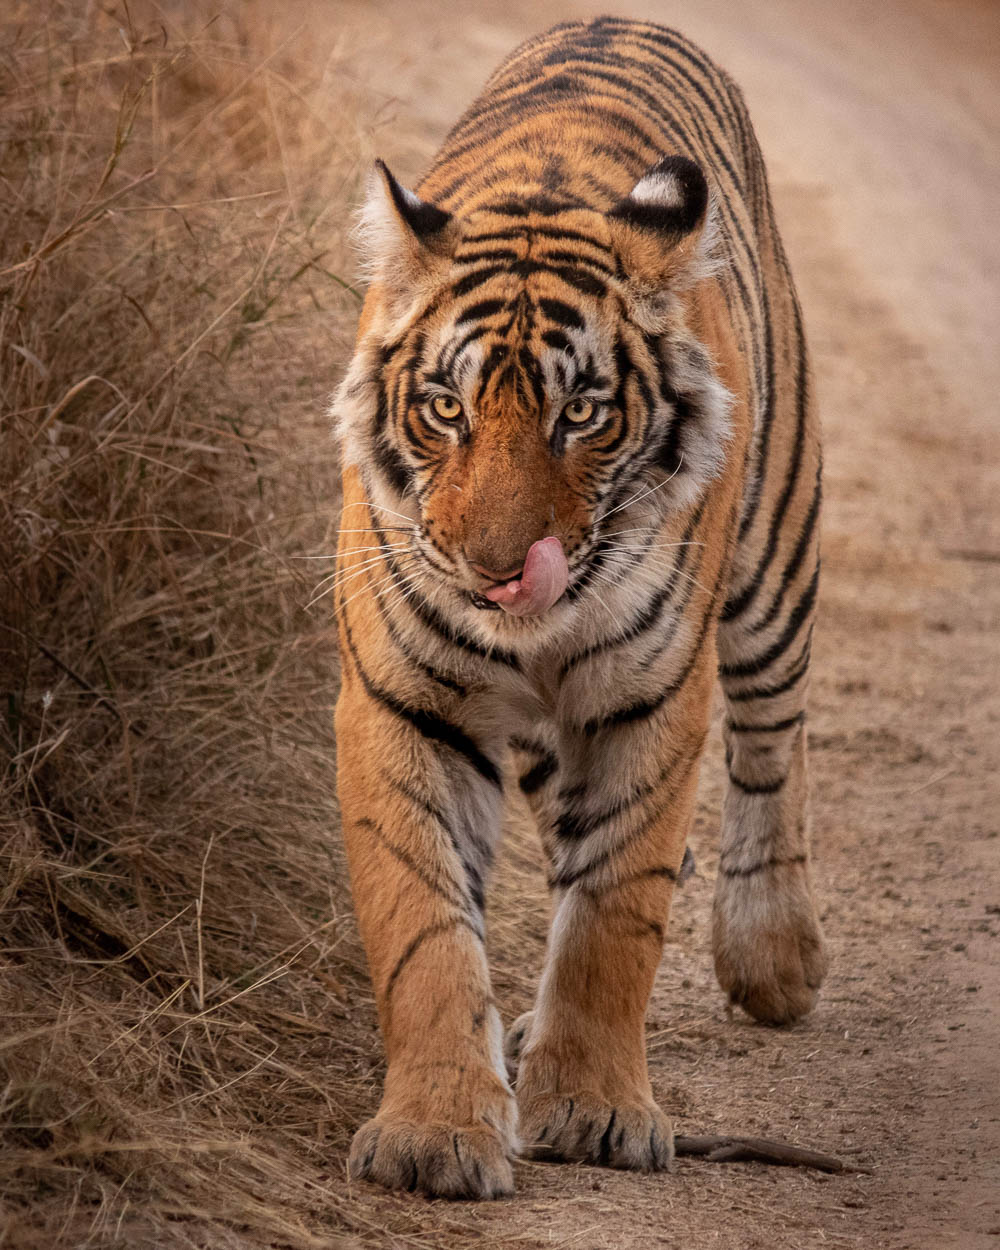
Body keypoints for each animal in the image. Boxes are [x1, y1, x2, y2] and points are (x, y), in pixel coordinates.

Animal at [332, 12, 825, 1200]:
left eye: (584, 415)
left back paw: (772, 953)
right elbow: (423, 926)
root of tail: (624, 16)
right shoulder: (402, 702)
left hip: (776, 549)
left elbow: (613, 914)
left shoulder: (649, 701)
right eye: (446, 407)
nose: (500, 570)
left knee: (772, 736)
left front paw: (596, 1109)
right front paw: (434, 1132)